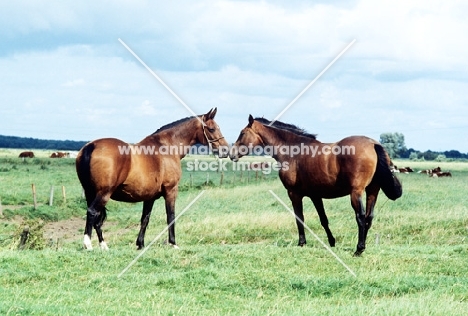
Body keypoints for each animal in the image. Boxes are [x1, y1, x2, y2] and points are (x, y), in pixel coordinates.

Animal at [76, 108, 229, 249]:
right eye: (212, 128)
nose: (226, 150)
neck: (167, 148)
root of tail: (91, 146)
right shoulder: (171, 191)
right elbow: (170, 216)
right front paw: (173, 243)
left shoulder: (149, 197)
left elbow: (145, 219)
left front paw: (140, 244)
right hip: (104, 193)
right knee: (92, 212)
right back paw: (88, 244)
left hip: (91, 192)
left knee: (96, 218)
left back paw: (103, 246)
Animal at [230, 116, 402, 256]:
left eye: (242, 133)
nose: (232, 154)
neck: (294, 152)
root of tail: (373, 144)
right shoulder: (315, 195)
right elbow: (323, 219)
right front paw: (332, 242)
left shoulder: (294, 194)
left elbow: (299, 218)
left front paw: (301, 243)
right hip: (372, 191)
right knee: (369, 217)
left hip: (356, 192)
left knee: (360, 217)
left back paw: (359, 249)